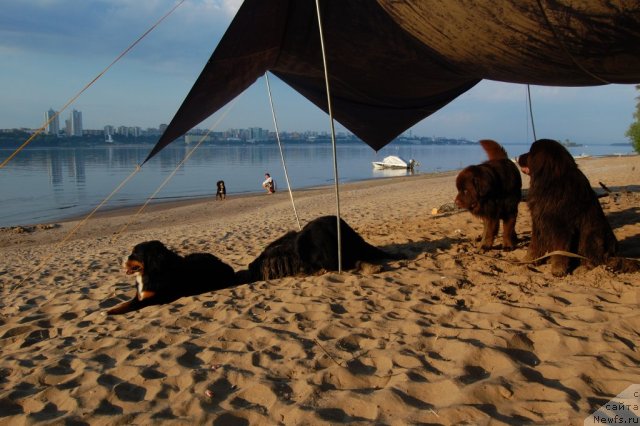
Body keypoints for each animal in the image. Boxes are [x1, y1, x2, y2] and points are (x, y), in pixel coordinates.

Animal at [105, 241, 235, 314]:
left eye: (135, 253)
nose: (119, 260)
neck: (151, 273)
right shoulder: (139, 296)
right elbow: (126, 304)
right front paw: (111, 309)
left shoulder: (155, 298)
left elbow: (132, 305)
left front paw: (109, 312)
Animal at [516, 138, 616, 274]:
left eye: (530, 152)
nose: (517, 157)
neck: (550, 181)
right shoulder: (538, 221)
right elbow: (535, 244)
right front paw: (529, 260)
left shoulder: (562, 225)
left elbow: (561, 250)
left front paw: (558, 269)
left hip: (592, 234)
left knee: (593, 258)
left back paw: (585, 267)